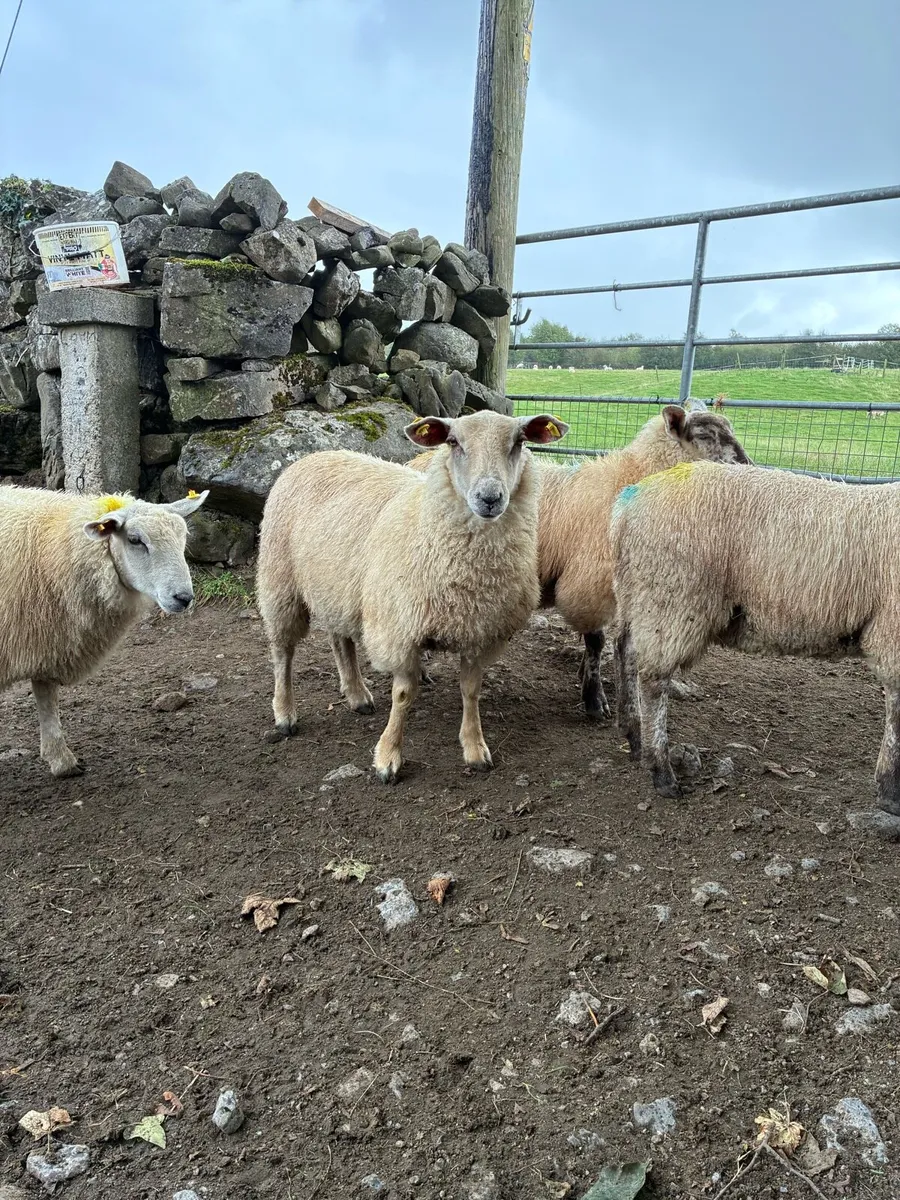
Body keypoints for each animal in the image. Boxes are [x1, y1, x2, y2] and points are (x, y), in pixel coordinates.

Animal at [0, 486, 208, 777]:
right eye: (135, 540)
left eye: (184, 536)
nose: (184, 598)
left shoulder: (46, 635)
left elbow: (46, 695)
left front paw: (61, 760)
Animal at [256, 409, 568, 783]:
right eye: (453, 442)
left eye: (519, 442)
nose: (490, 497)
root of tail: (316, 455)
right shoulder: (400, 629)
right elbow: (404, 695)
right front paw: (388, 756)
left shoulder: (479, 630)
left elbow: (471, 690)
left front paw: (474, 747)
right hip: (280, 583)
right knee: (282, 652)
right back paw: (285, 713)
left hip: (337, 586)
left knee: (339, 639)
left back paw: (357, 695)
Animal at [410, 405, 750, 717]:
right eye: (705, 435)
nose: (747, 464)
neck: (629, 479)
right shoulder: (587, 582)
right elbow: (596, 641)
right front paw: (594, 699)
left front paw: (585, 676)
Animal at [610, 461, 900, 815]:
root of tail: (629, 501)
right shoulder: (892, 633)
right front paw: (891, 792)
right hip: (670, 594)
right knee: (652, 680)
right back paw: (661, 771)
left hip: (638, 593)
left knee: (625, 650)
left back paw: (634, 734)